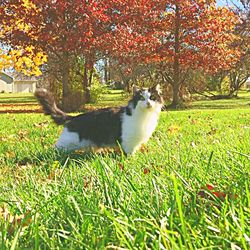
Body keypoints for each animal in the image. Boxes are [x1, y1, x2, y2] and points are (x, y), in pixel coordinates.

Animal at [35, 84, 164, 154]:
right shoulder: (128, 141)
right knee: (55, 148)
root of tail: (74, 117)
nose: (148, 103)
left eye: (152, 97)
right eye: (141, 98)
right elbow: (129, 153)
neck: (145, 116)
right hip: (67, 142)